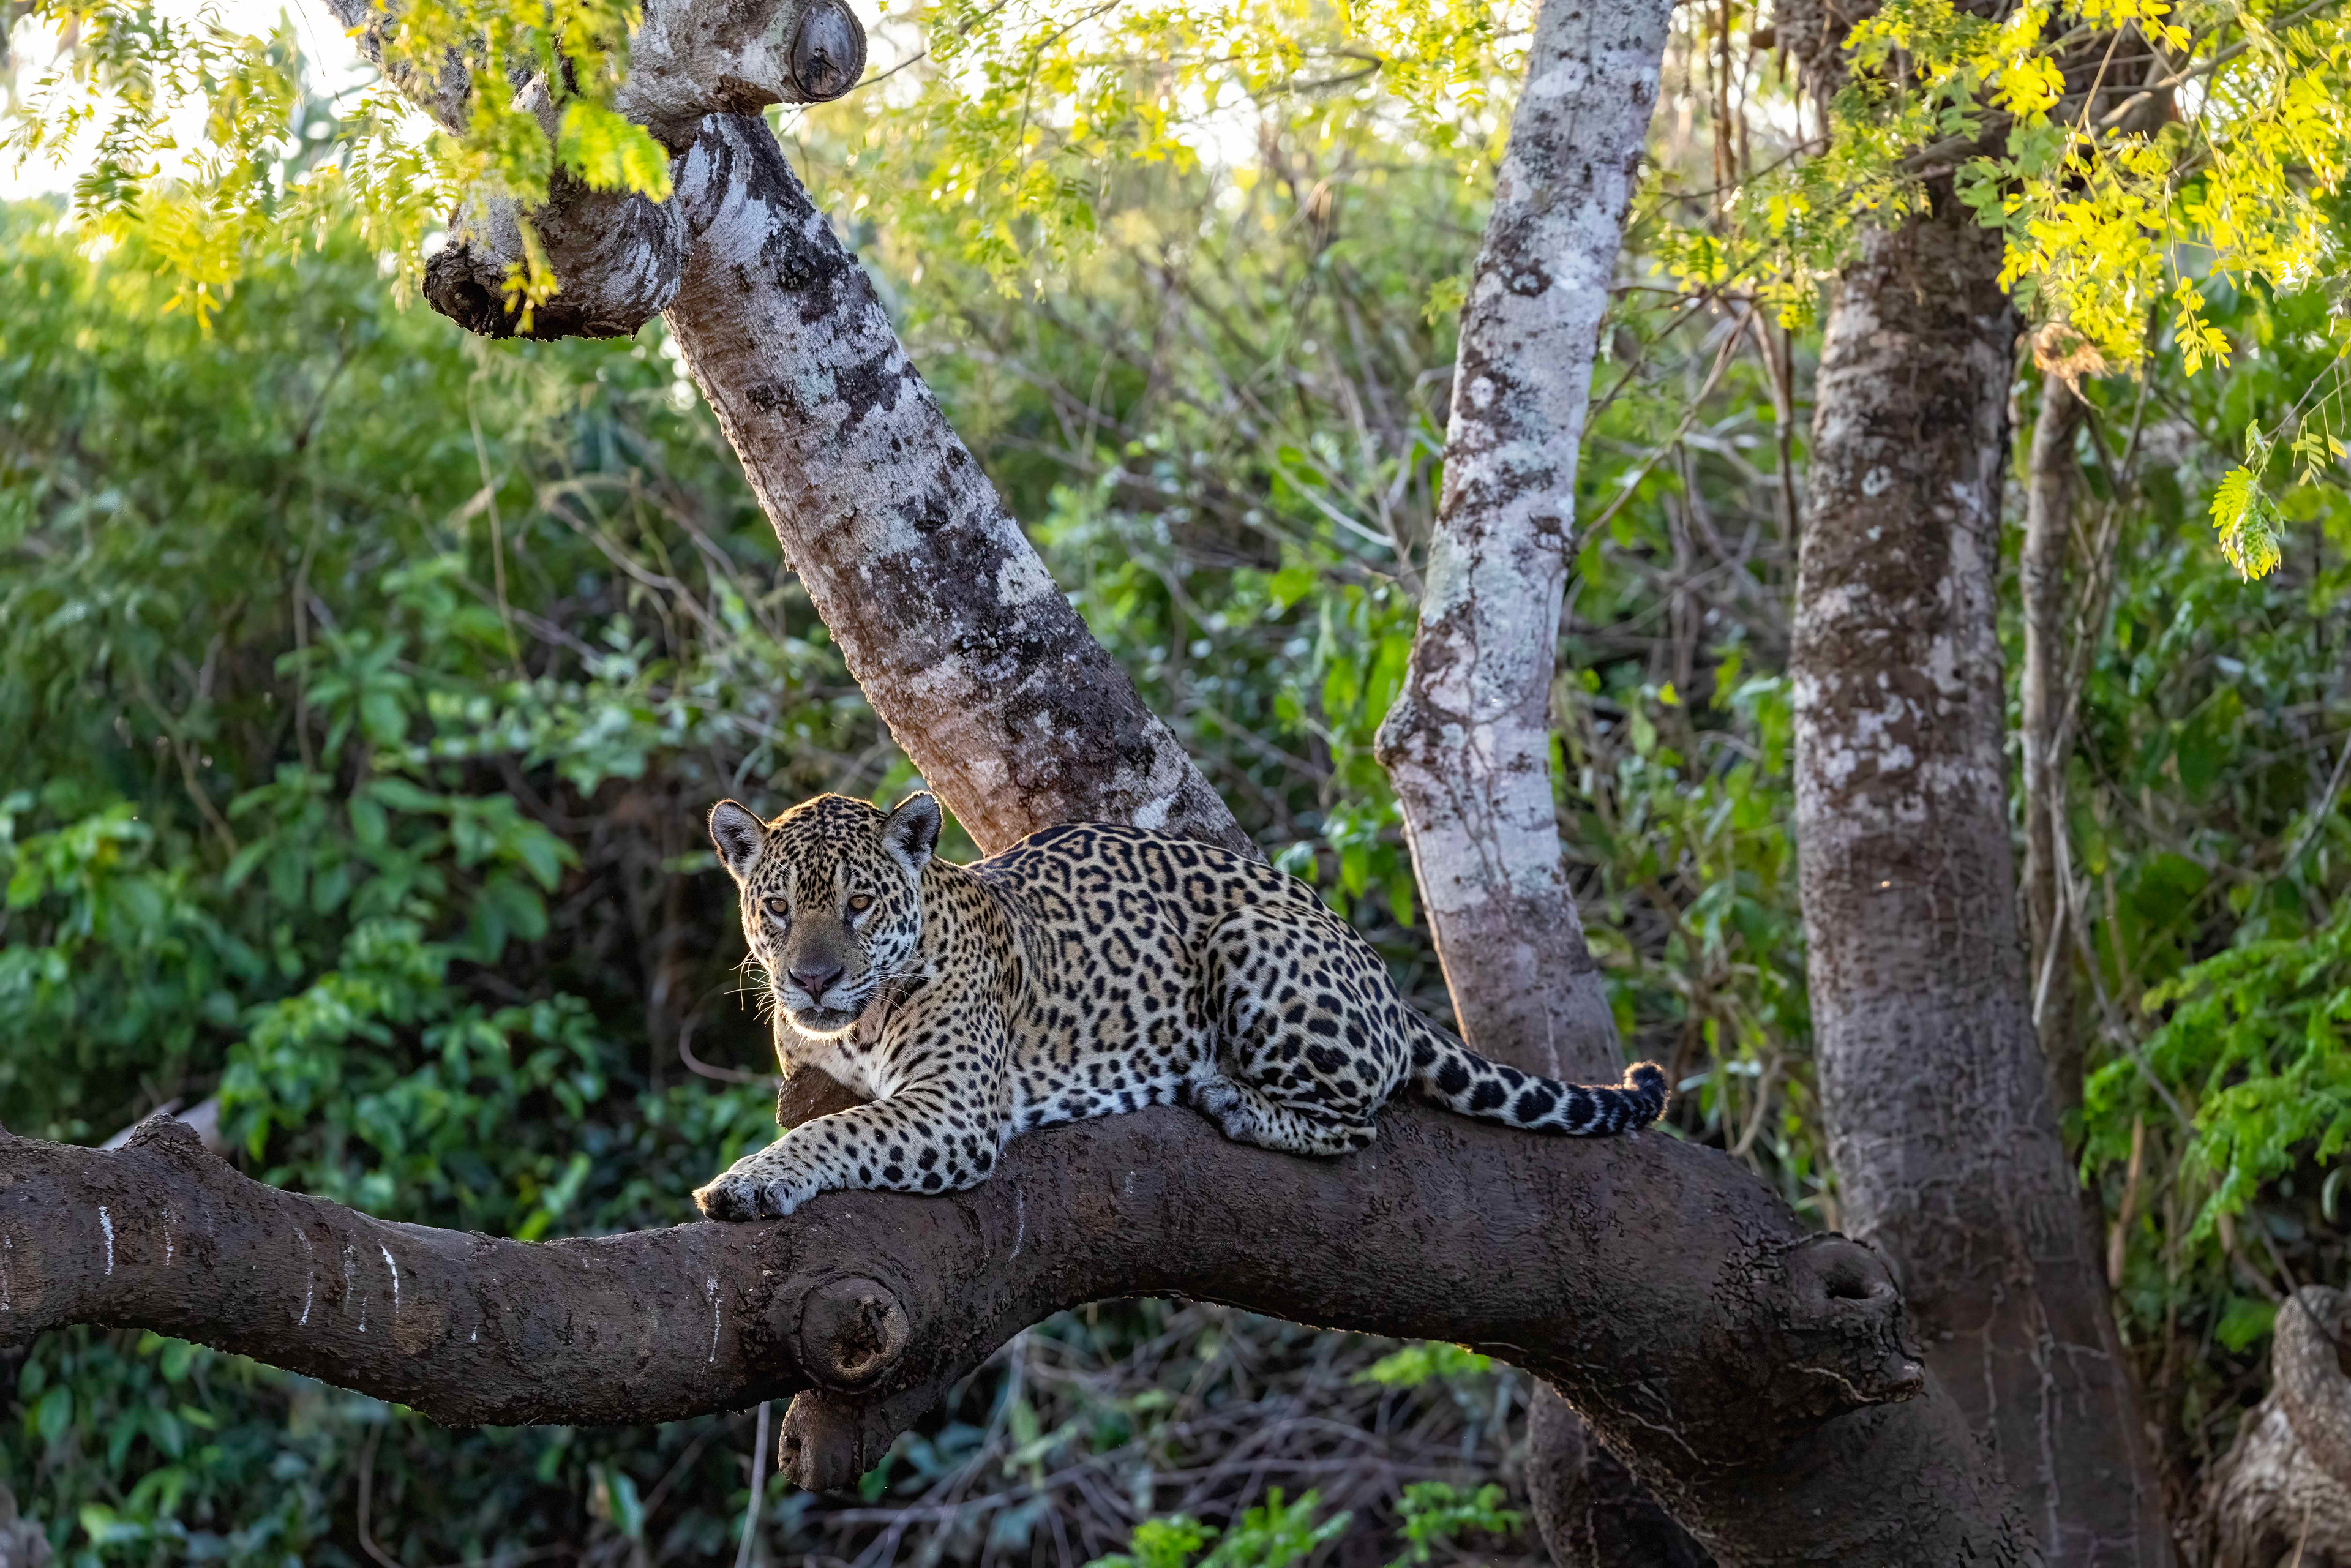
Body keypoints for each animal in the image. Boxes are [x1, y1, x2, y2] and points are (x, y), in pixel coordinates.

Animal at [692, 790, 1669, 1221]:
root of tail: (1384, 977)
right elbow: (820, 1107)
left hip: (1253, 944)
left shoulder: (954, 1109)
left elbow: (841, 1130)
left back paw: (1233, 1098)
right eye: (777, 907)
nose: (812, 979)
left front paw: (749, 1180)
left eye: (859, 902)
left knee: (1360, 1122)